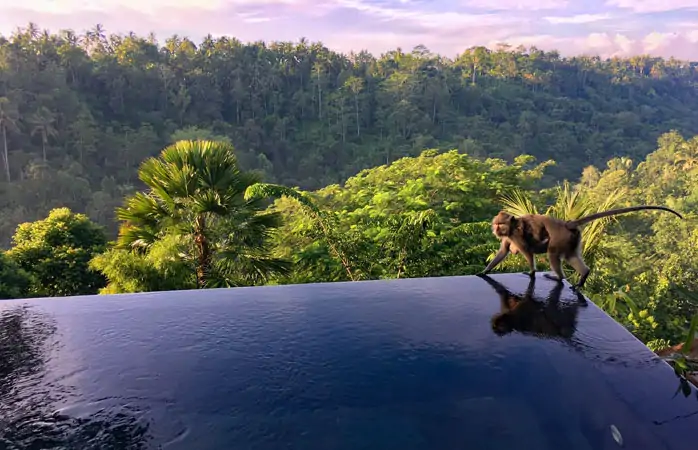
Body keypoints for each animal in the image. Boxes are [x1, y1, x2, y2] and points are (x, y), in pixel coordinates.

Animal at [478, 206, 680, 290]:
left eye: (500, 224)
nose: (496, 229)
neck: (511, 228)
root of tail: (566, 224)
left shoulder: (515, 235)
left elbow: (527, 250)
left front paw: (532, 272)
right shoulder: (508, 237)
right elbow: (503, 252)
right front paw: (485, 271)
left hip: (560, 238)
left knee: (553, 254)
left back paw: (559, 277)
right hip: (572, 239)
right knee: (570, 256)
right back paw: (583, 275)